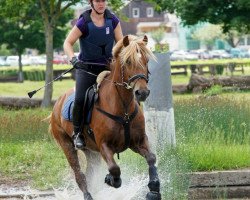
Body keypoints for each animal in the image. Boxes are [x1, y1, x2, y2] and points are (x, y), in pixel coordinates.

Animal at [49, 35, 162, 199]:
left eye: (146, 60)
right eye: (128, 61)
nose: (142, 93)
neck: (123, 110)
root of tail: (57, 104)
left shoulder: (138, 142)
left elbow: (152, 158)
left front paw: (154, 189)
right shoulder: (104, 145)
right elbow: (114, 168)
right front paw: (112, 179)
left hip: (91, 152)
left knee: (89, 173)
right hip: (67, 145)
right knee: (79, 175)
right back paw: (88, 195)